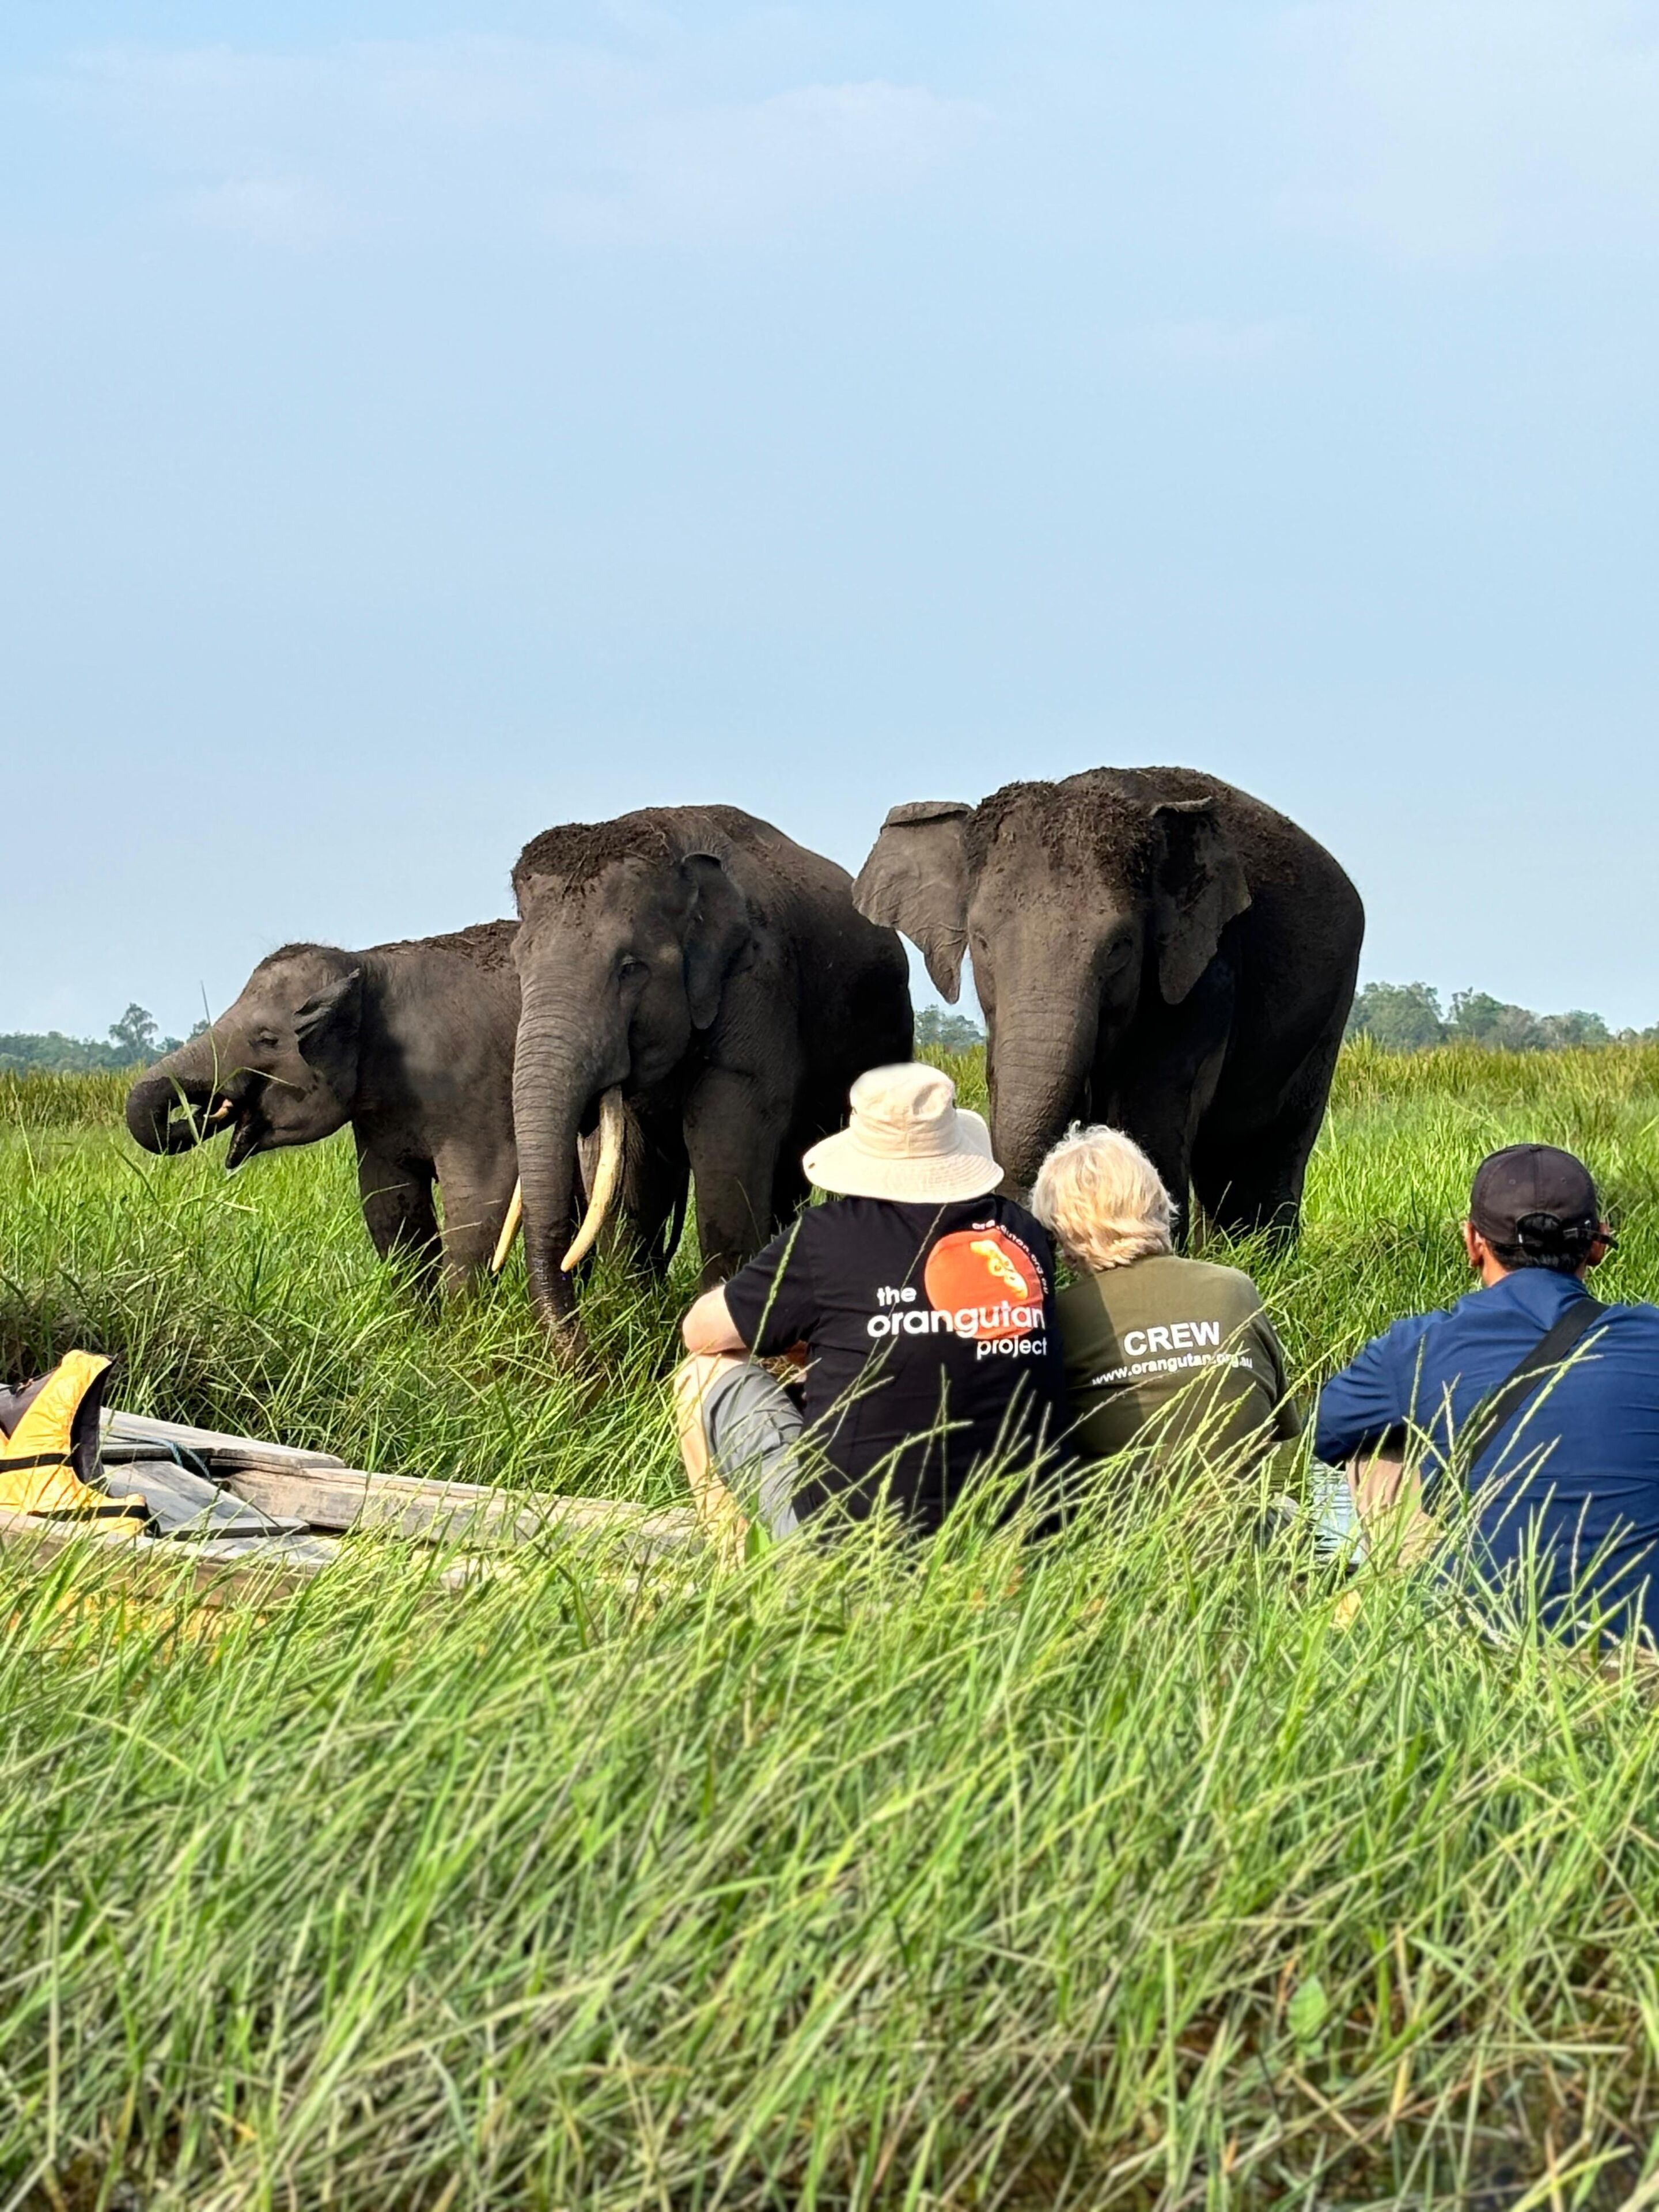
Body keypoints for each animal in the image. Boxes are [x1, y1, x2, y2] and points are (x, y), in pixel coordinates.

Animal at [125, 923, 521, 1292]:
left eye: (267, 1039)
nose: (193, 1113)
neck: (366, 967)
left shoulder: (475, 1093)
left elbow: (477, 1208)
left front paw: (462, 1320)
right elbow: (388, 1211)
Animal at [509, 804, 913, 1344]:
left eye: (630, 968)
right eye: (518, 966)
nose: (588, 1366)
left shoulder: (757, 982)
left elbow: (727, 1141)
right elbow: (627, 1172)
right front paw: (634, 1327)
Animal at [852, 767, 1363, 1239]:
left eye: (1120, 946)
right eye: (980, 941)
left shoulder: (1204, 972)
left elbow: (1154, 1107)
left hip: (1327, 1016)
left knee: (1269, 1151)